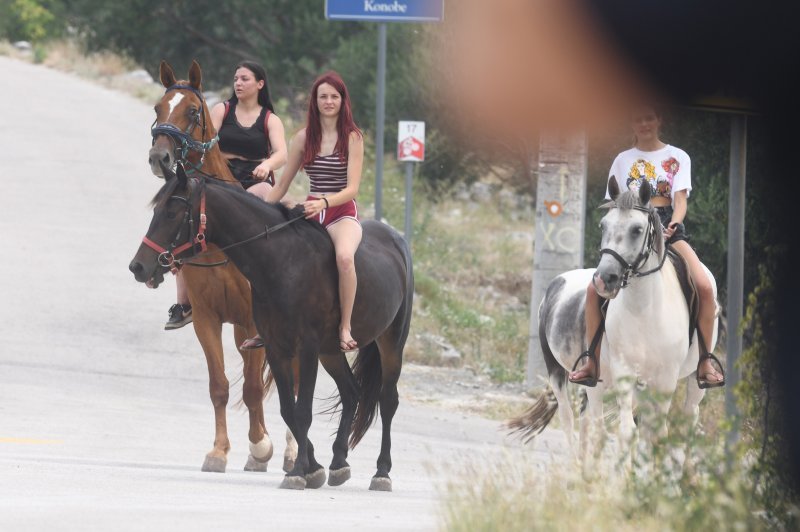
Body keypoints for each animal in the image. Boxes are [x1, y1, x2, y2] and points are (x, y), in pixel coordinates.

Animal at [145, 61, 296, 474]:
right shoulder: (208, 319)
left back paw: (290, 452)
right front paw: (219, 451)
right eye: (158, 108)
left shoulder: (253, 322)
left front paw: (261, 447)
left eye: (194, 111)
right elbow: (220, 386)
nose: (160, 157)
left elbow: (254, 388)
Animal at [510, 180, 720, 470]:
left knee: (687, 419)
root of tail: (557, 282)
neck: (645, 310)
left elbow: (657, 433)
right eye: (603, 225)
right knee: (573, 419)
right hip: (564, 372)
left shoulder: (664, 378)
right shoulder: (624, 371)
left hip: (688, 381)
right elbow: (627, 431)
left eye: (637, 229)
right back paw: (580, 468)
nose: (604, 279)